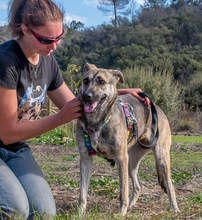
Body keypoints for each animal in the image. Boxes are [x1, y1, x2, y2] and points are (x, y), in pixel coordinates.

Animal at [76, 63, 179, 215]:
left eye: (101, 82)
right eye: (85, 81)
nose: (86, 96)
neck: (97, 121)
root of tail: (156, 108)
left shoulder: (121, 158)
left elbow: (123, 190)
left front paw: (121, 212)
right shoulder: (85, 158)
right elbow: (82, 192)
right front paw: (80, 212)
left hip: (161, 158)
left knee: (170, 184)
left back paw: (174, 207)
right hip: (131, 162)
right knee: (138, 186)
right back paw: (131, 205)